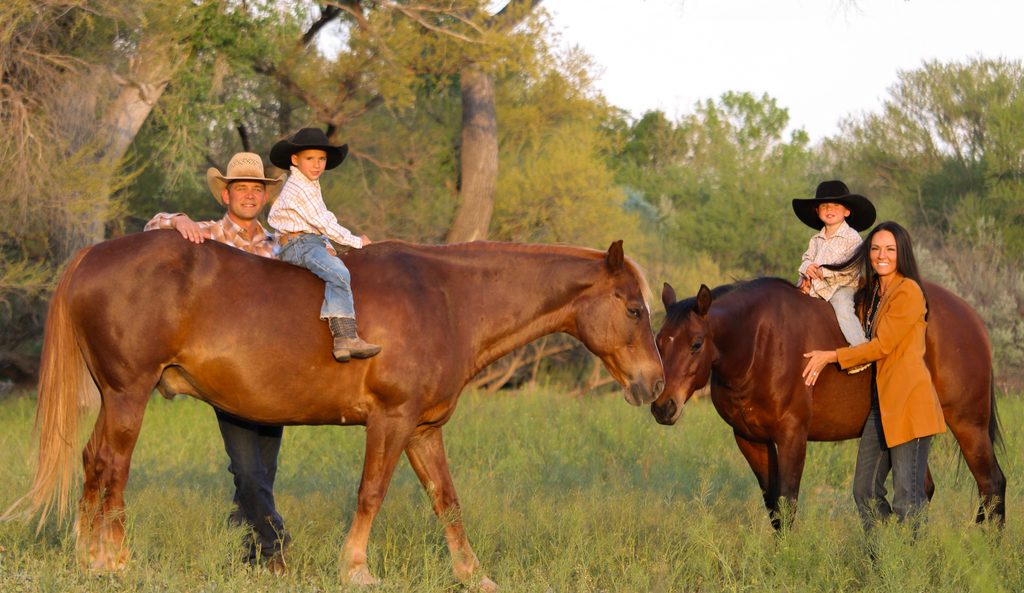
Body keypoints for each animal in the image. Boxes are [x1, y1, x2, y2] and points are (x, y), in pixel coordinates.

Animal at [12, 231, 665, 590]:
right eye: (634, 309)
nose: (655, 386)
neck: (447, 299)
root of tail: (92, 255)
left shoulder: (423, 429)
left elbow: (447, 502)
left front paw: (474, 575)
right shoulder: (391, 421)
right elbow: (371, 492)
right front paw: (356, 569)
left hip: (114, 394)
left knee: (93, 461)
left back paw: (87, 557)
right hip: (129, 392)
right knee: (113, 465)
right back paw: (112, 561)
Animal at [650, 278, 1005, 529]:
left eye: (696, 343)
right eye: (658, 340)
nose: (662, 406)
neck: (758, 344)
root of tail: (973, 319)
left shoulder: (792, 435)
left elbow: (787, 502)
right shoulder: (750, 439)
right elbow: (773, 507)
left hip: (968, 425)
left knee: (992, 484)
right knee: (923, 492)